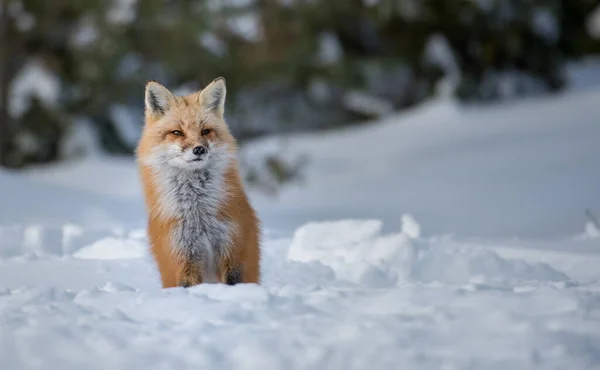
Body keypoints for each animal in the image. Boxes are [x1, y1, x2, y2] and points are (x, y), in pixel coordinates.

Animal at [137, 76, 262, 288]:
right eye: (177, 132)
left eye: (205, 131)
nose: (199, 150)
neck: (198, 214)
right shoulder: (183, 257)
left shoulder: (233, 249)